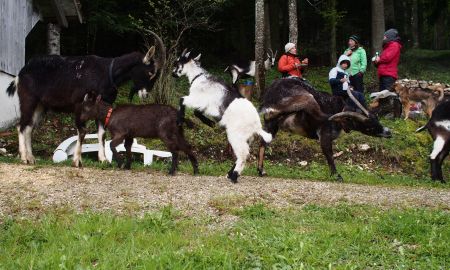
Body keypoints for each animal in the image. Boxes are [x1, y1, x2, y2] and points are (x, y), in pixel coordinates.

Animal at [6, 31, 165, 167]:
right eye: (150, 72)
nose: (145, 95)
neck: (107, 73)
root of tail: (21, 73)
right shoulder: (79, 104)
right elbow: (82, 131)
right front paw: (77, 161)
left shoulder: (103, 105)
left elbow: (101, 133)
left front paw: (103, 160)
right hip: (28, 100)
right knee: (21, 126)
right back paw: (24, 158)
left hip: (40, 106)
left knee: (29, 127)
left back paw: (31, 158)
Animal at [171, 48, 270, 184]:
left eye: (177, 63)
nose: (173, 74)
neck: (198, 78)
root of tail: (257, 126)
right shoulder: (203, 105)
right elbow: (197, 112)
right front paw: (209, 122)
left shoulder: (198, 99)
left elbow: (183, 100)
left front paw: (181, 119)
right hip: (248, 138)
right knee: (242, 154)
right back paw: (230, 174)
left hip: (236, 135)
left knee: (243, 154)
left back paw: (234, 176)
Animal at [258, 77, 392, 181]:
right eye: (369, 128)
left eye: (376, 118)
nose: (388, 132)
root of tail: (270, 94)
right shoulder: (324, 135)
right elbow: (329, 155)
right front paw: (337, 176)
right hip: (307, 98)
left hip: (272, 124)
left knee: (263, 141)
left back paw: (261, 170)